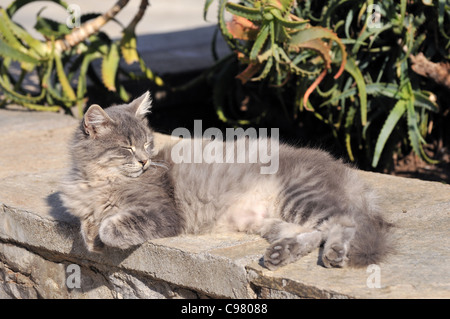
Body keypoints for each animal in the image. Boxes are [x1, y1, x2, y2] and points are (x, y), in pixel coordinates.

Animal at [60, 92, 394, 270]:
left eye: (146, 144)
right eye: (127, 148)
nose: (144, 161)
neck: (100, 180)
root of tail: (343, 170)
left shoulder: (163, 212)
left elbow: (112, 226)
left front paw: (101, 236)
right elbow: (86, 223)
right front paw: (91, 238)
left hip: (300, 198)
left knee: (344, 222)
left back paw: (335, 252)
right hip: (267, 220)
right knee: (312, 234)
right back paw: (280, 254)